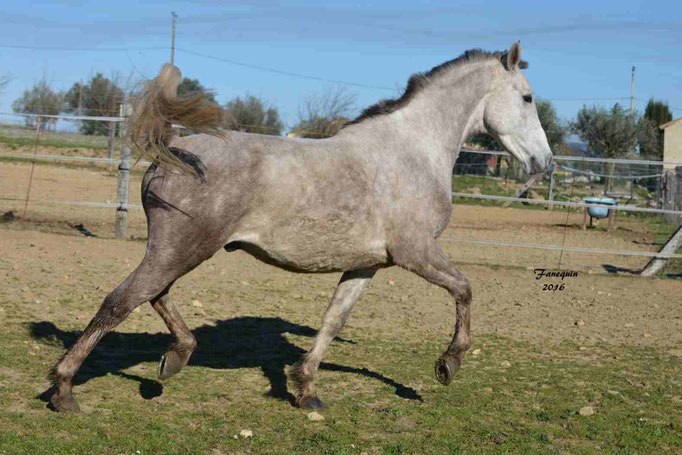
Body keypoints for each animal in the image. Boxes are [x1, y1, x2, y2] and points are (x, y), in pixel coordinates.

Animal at [49, 42, 548, 414]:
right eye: (527, 97)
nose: (544, 163)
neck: (414, 151)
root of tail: (170, 153)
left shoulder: (367, 265)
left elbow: (332, 320)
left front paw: (306, 391)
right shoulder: (417, 252)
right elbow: (465, 290)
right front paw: (448, 364)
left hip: (180, 249)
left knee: (154, 294)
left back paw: (175, 358)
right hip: (182, 247)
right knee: (122, 300)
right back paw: (64, 390)